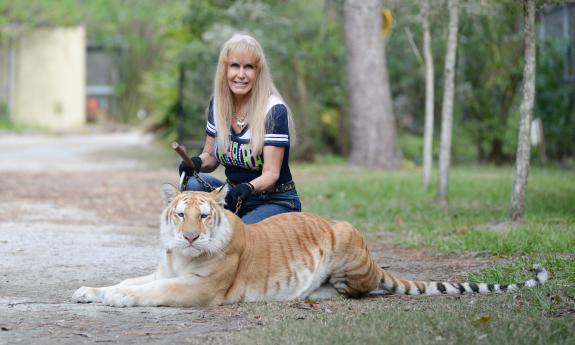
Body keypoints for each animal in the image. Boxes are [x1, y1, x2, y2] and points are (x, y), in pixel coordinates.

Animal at [72, 183, 548, 306]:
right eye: (179, 214)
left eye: (203, 216)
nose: (189, 236)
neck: (180, 256)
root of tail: (373, 259)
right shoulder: (164, 270)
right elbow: (132, 280)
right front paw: (89, 291)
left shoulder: (200, 288)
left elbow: (149, 291)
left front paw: (116, 299)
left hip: (346, 241)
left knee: (360, 289)